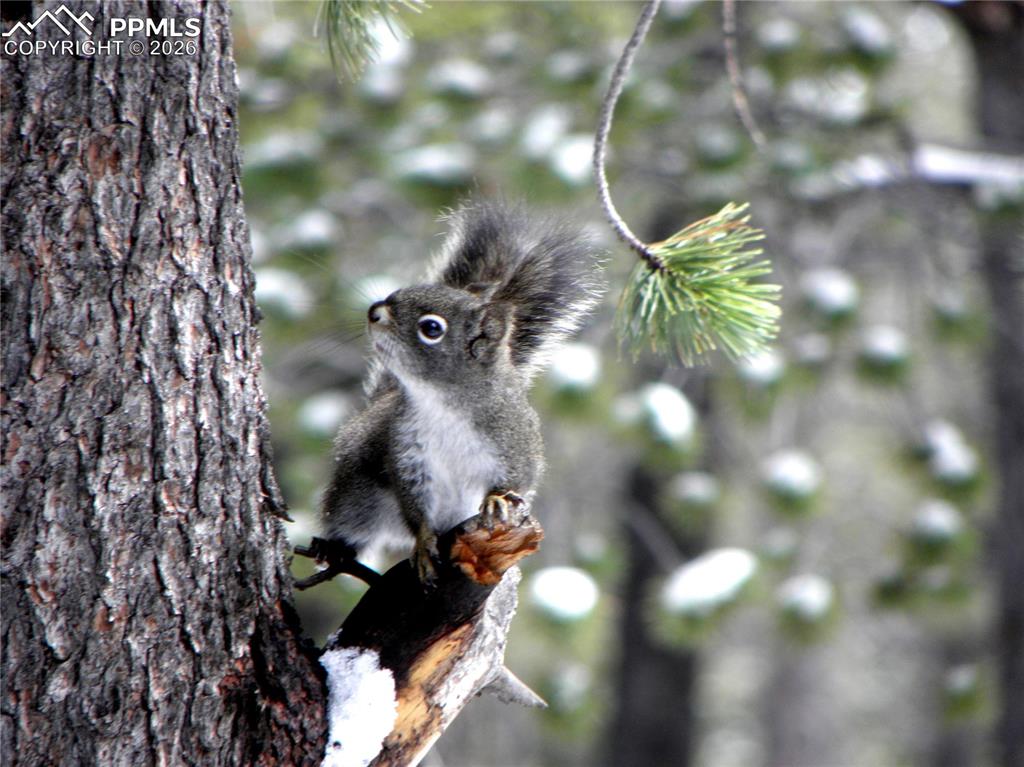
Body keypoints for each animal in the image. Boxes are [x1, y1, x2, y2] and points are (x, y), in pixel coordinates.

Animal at [296, 200, 601, 587]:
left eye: (431, 328)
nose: (374, 311)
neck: (440, 401)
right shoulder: (408, 457)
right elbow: (415, 509)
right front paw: (424, 542)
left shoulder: (515, 444)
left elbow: (518, 480)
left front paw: (497, 501)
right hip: (357, 495)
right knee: (353, 523)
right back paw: (334, 549)